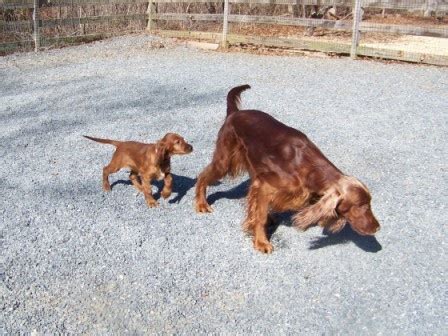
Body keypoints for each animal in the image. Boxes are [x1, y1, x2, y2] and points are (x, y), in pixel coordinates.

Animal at [195, 85, 378, 253]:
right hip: (225, 161)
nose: (377, 227)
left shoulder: (262, 183)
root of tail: (235, 113)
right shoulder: (266, 186)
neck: (309, 170)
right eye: (361, 205)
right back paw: (201, 204)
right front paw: (261, 242)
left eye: (369, 203)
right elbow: (259, 216)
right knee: (203, 175)